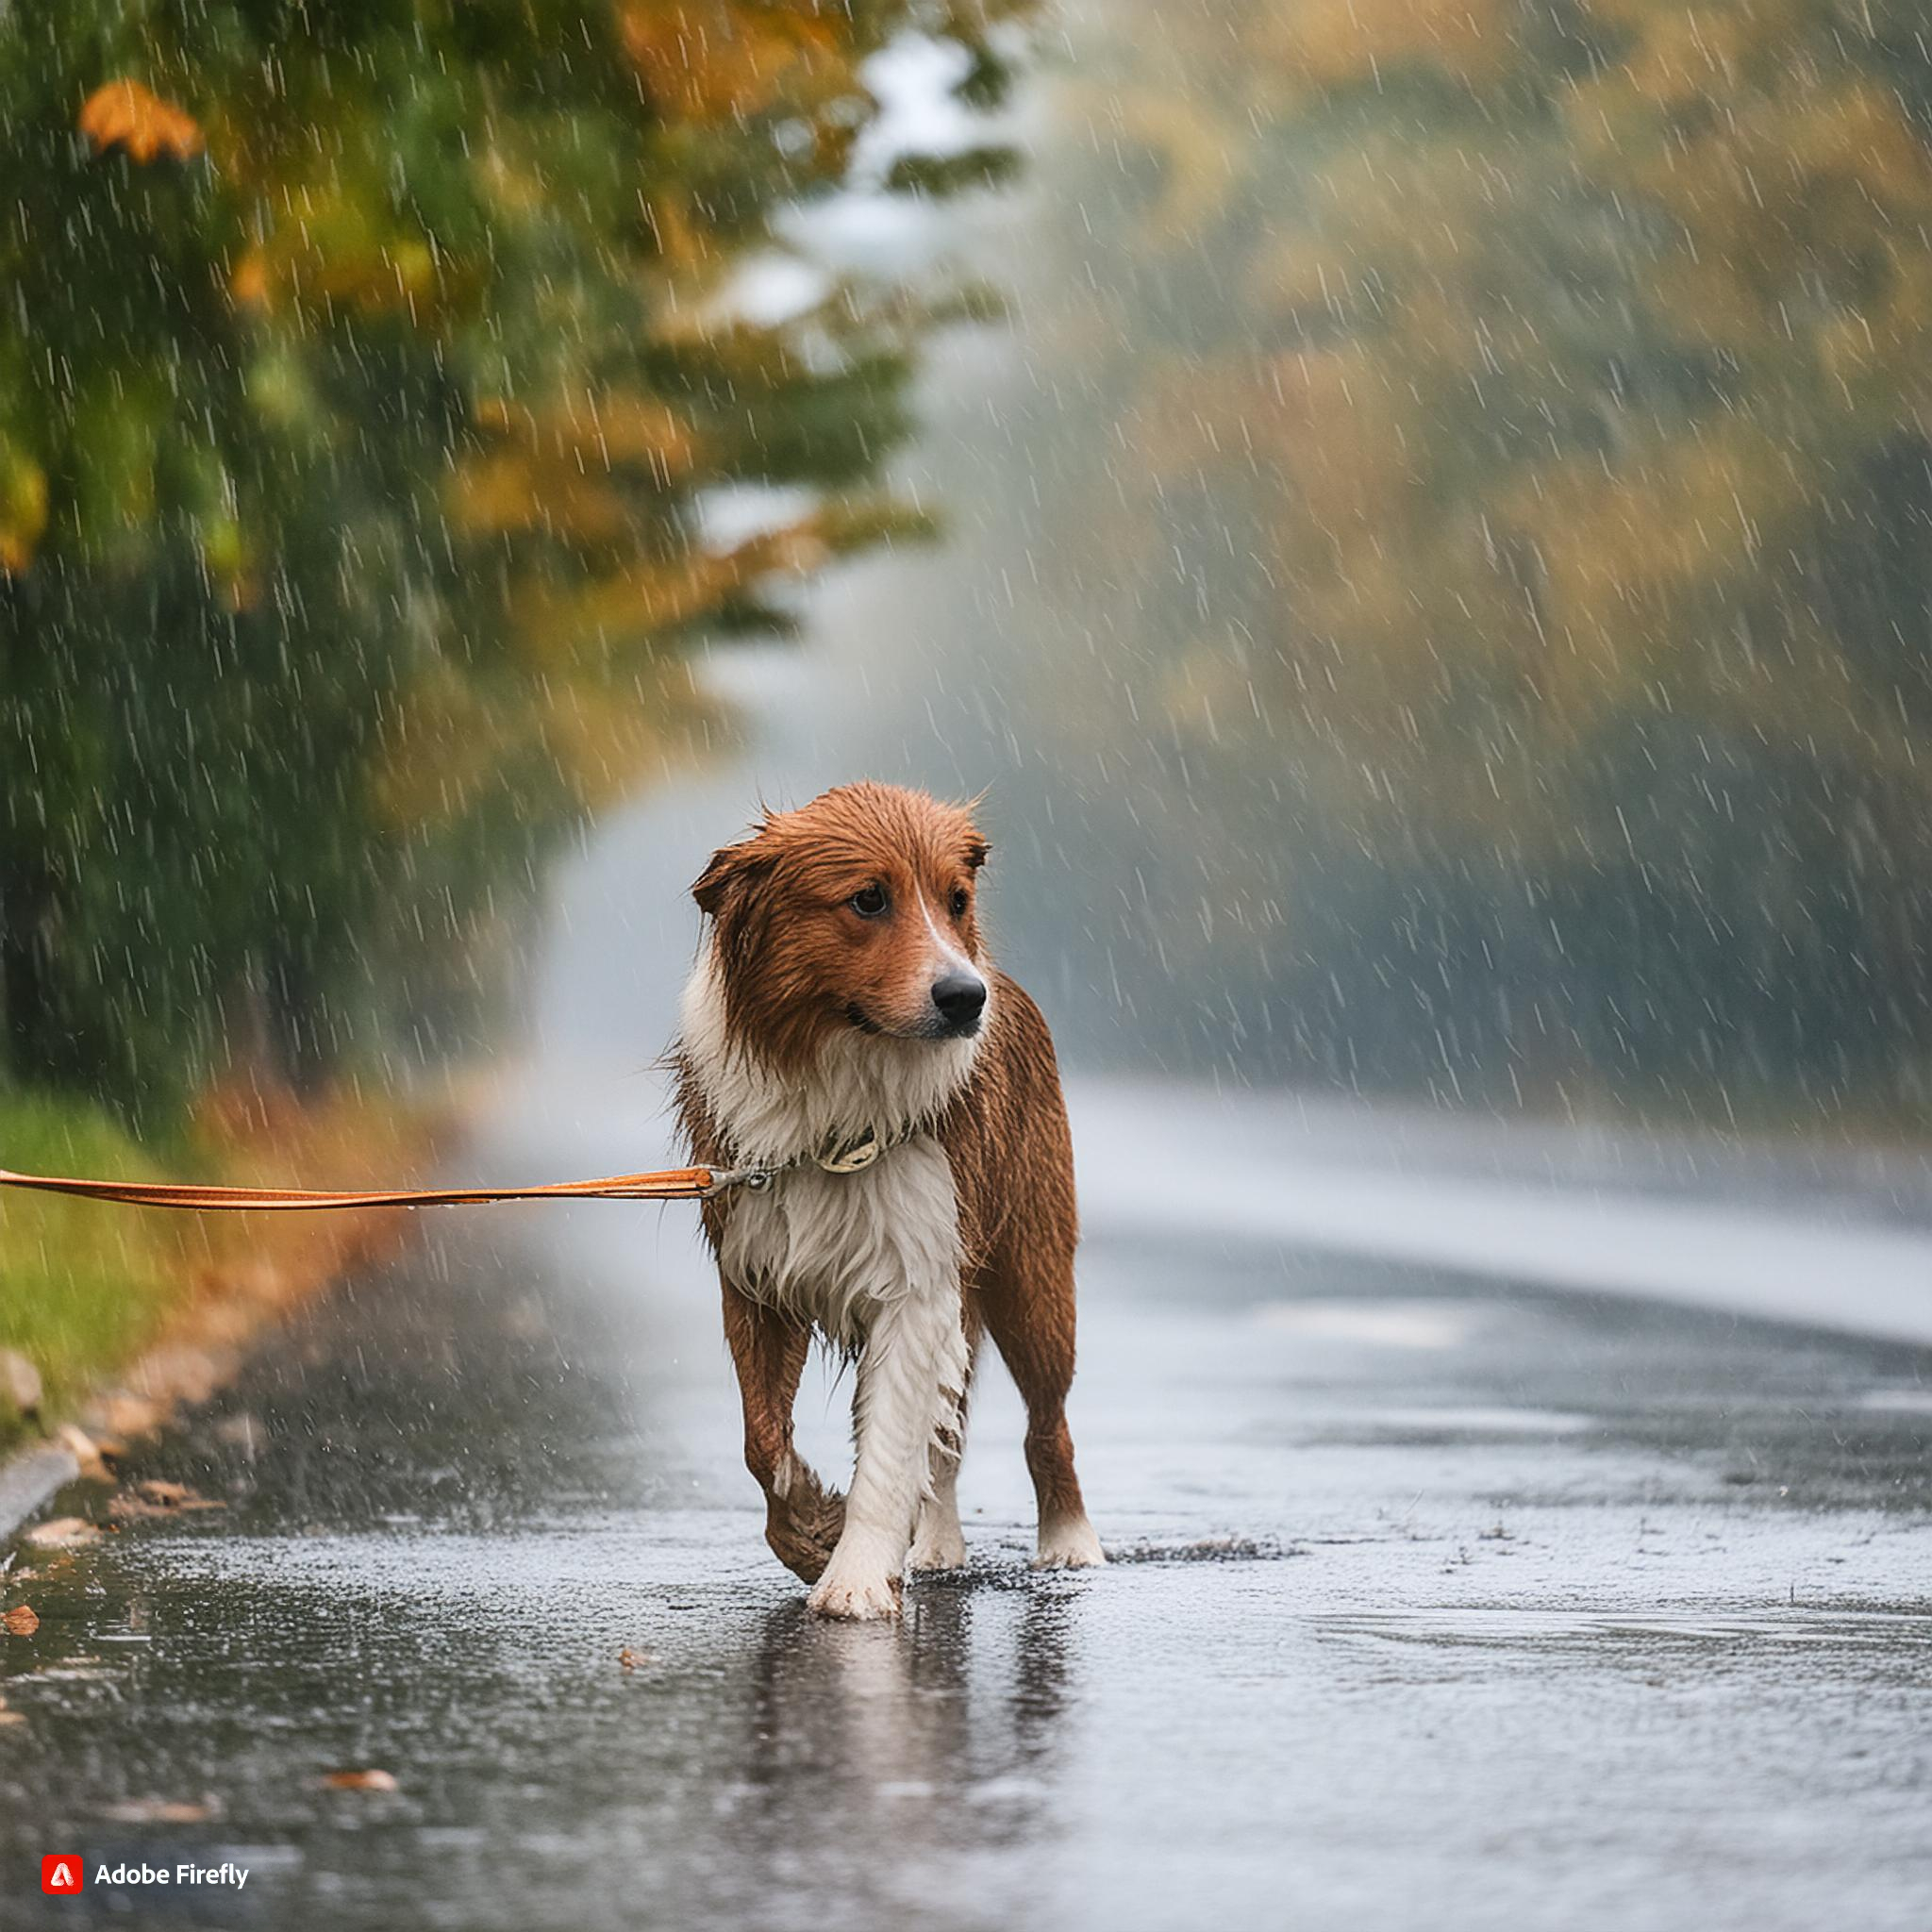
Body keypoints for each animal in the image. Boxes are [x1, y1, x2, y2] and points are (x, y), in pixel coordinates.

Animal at [675, 780, 1105, 1615]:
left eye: (956, 900)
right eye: (868, 899)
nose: (966, 997)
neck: (842, 1091)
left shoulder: (918, 1277)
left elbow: (888, 1447)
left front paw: (855, 1579)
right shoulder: (753, 1273)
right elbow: (761, 1440)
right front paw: (811, 1530)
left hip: (1031, 1276)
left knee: (1048, 1425)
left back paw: (1072, 1546)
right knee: (946, 1438)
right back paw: (936, 1546)